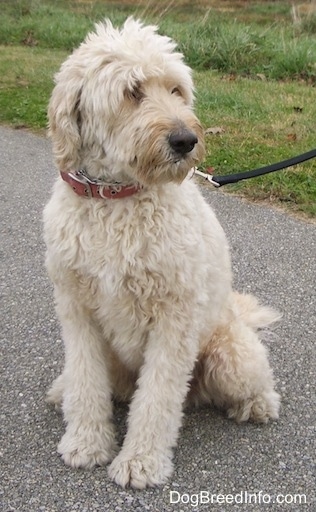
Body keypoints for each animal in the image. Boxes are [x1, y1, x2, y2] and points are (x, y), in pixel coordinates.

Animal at [43, 17, 280, 488]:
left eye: (176, 90)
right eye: (132, 91)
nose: (186, 140)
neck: (117, 198)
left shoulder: (175, 320)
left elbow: (157, 398)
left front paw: (141, 461)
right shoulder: (77, 310)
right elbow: (86, 379)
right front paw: (86, 442)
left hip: (230, 356)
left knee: (257, 383)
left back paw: (258, 405)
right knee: (94, 382)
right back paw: (63, 390)